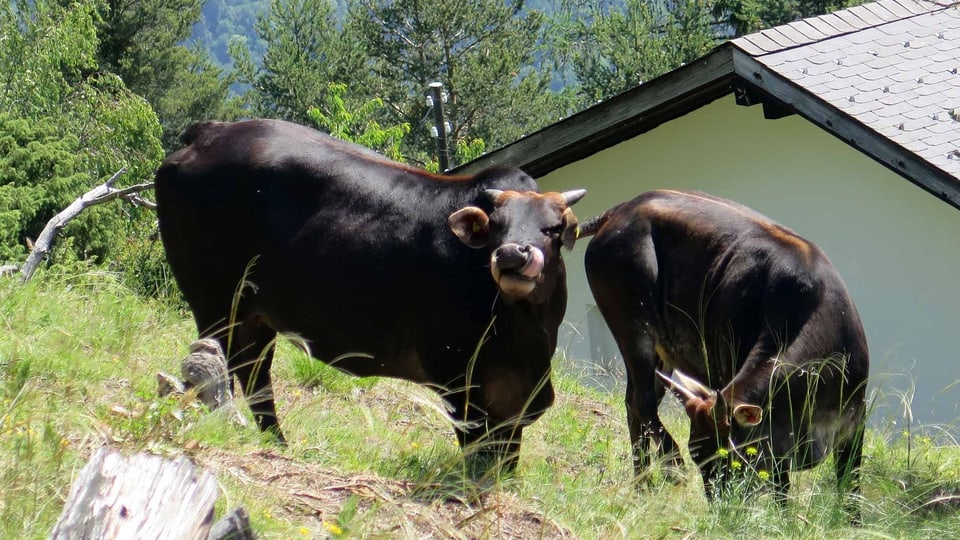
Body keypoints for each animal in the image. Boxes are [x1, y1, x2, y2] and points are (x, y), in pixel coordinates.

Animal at [154, 119, 584, 468]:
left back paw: (278, 442)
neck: (526, 336)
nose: (511, 255)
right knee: (222, 369)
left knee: (254, 373)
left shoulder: (515, 404)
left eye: (552, 229)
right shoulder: (461, 385)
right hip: (214, 301)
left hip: (255, 315)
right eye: (496, 226)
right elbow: (479, 457)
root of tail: (212, 131)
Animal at [584, 189, 872, 516]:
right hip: (633, 328)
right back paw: (670, 465)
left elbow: (849, 485)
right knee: (642, 402)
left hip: (658, 351)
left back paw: (642, 485)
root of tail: (620, 209)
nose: (719, 508)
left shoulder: (853, 421)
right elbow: (782, 488)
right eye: (698, 456)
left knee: (634, 404)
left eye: (729, 456)